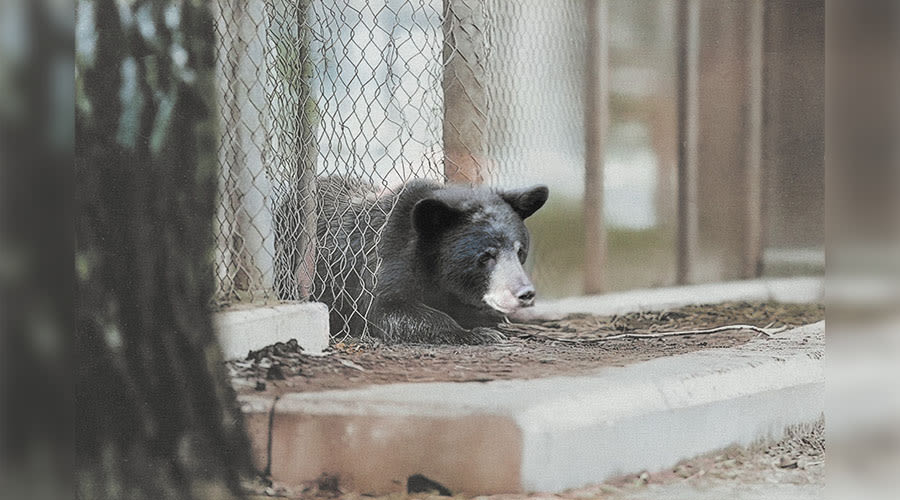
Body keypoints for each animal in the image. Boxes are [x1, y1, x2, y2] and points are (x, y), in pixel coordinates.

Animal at [278, 178, 548, 346]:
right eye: (486, 256)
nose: (525, 293)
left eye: (519, 251)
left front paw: (491, 322)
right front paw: (476, 334)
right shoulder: (384, 259)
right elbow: (391, 311)